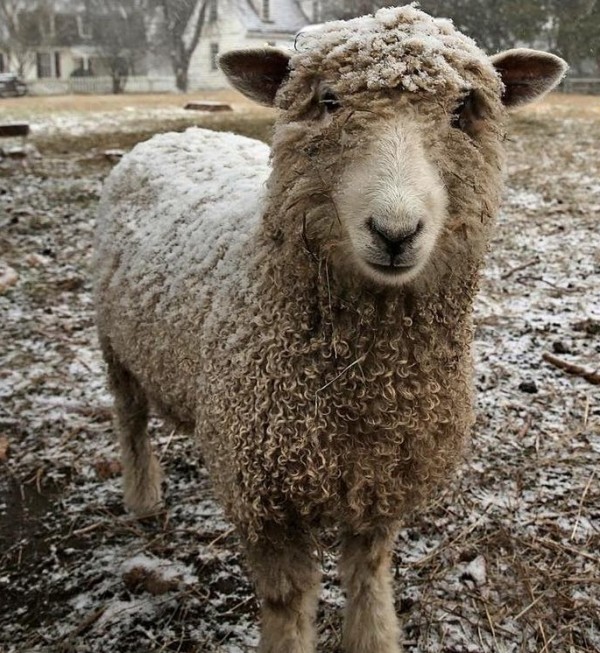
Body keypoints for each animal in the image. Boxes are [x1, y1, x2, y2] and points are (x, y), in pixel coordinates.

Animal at [94, 6, 568, 652]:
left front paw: (372, 636)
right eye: (328, 100)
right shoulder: (268, 503)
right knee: (130, 422)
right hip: (113, 346)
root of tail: (178, 133)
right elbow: (289, 604)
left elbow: (368, 576)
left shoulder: (380, 481)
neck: (368, 384)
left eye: (463, 110)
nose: (395, 232)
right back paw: (142, 497)